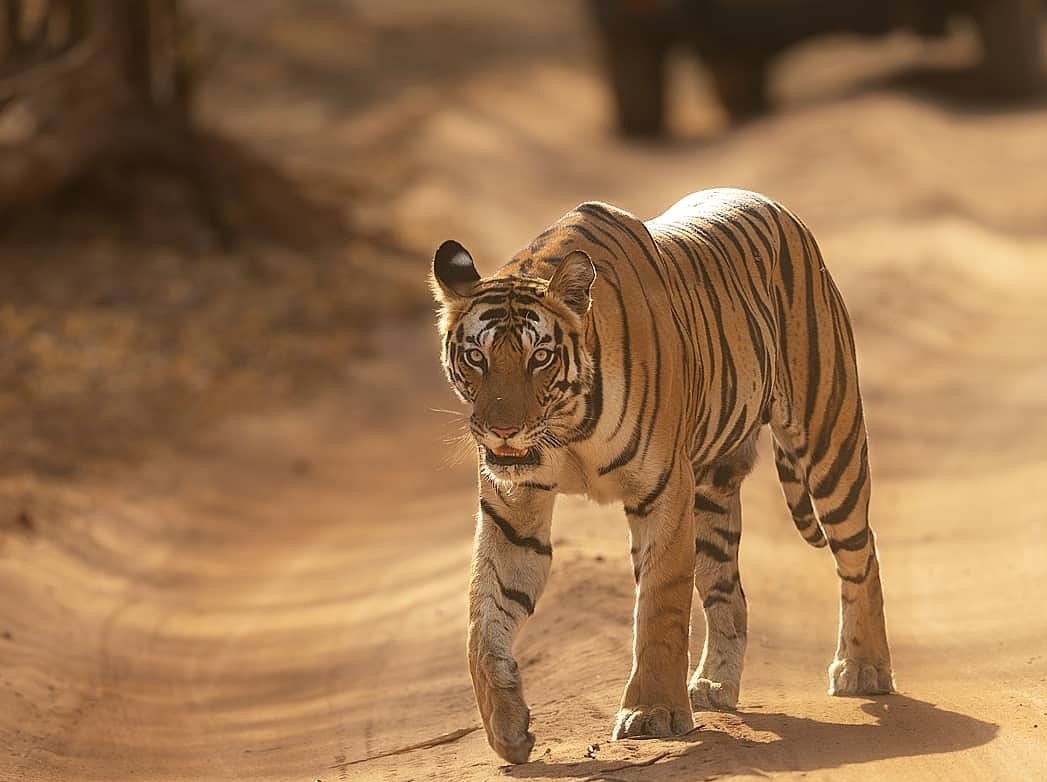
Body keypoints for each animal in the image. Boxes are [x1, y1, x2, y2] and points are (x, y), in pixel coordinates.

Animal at [429, 188, 896, 766]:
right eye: (476, 356)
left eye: (540, 357)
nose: (503, 430)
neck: (568, 429)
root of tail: (775, 206)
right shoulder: (514, 508)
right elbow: (483, 617)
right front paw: (506, 728)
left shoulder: (664, 491)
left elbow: (659, 603)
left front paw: (653, 714)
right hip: (714, 491)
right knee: (729, 593)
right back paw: (714, 684)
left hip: (830, 438)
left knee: (861, 555)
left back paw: (864, 669)